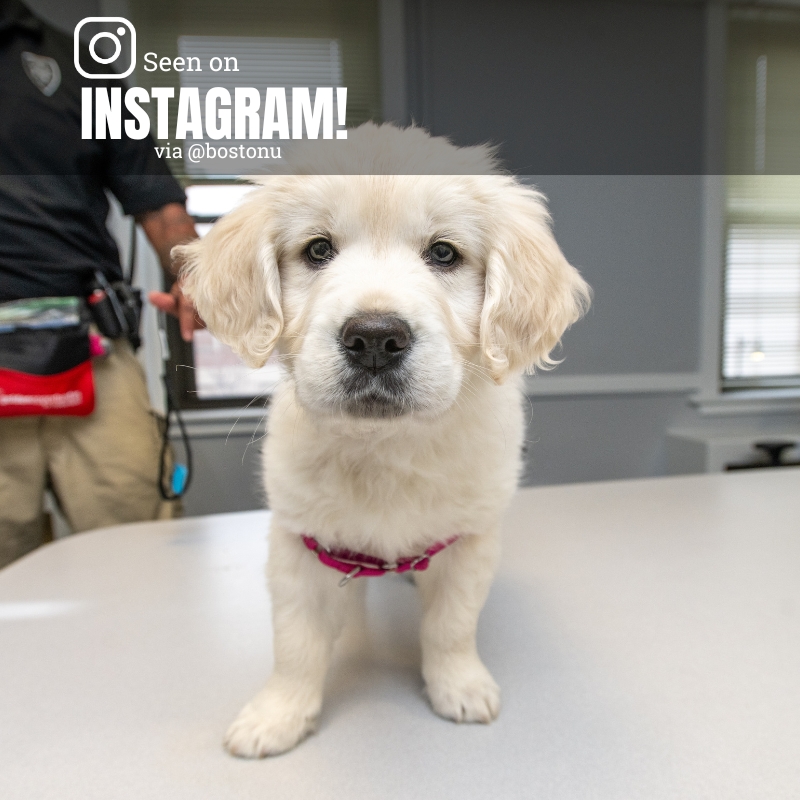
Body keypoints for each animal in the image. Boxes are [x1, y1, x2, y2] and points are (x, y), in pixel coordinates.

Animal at [178, 123, 592, 756]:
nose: (375, 338)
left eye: (444, 253)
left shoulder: (470, 538)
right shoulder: (297, 542)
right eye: (317, 250)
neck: (386, 446)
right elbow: (295, 642)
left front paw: (458, 685)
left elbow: (451, 624)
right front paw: (278, 713)